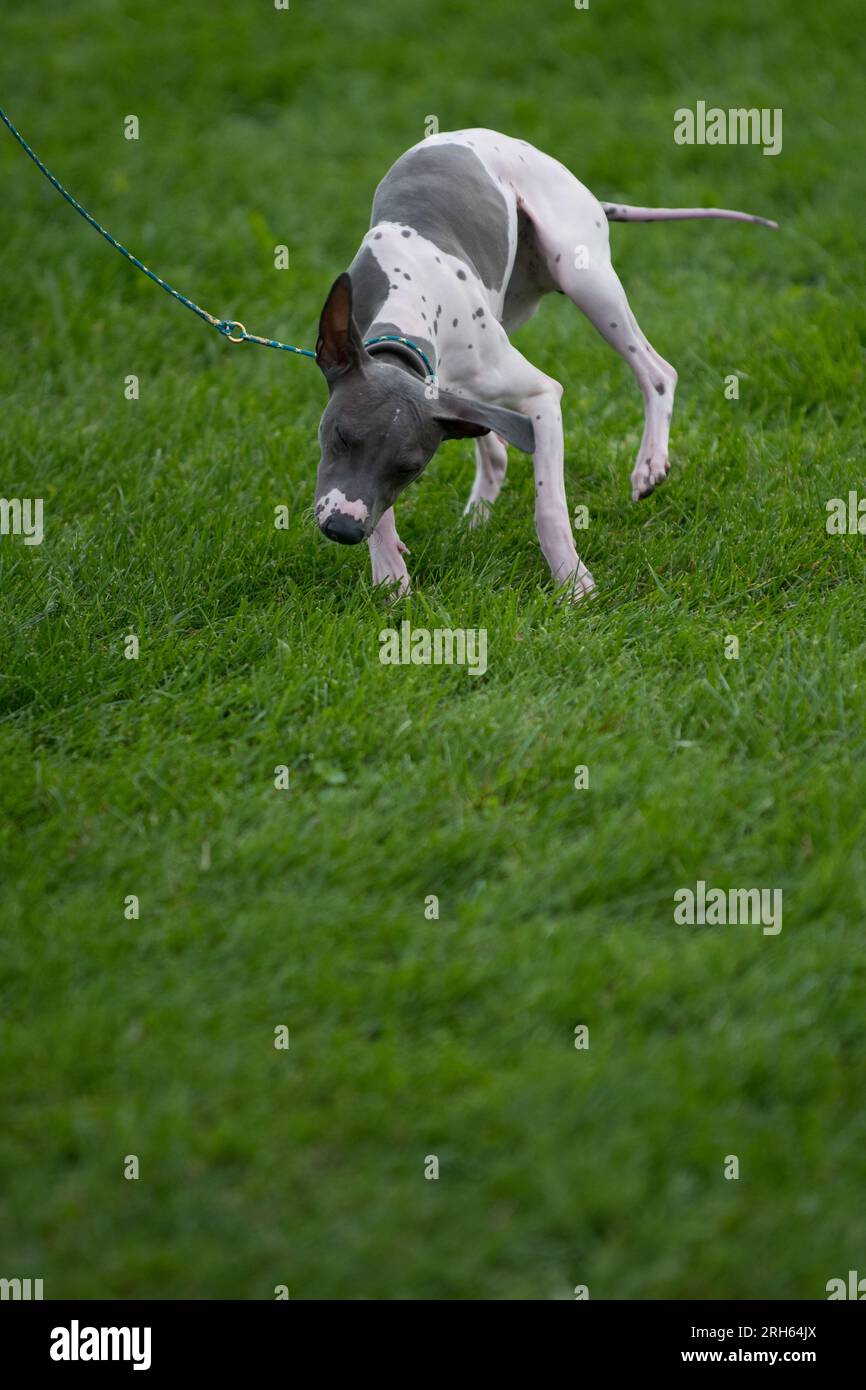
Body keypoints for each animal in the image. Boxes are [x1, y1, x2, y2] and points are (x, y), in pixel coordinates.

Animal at [312, 131, 778, 603]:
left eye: (410, 467)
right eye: (339, 437)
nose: (342, 529)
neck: (408, 299)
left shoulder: (541, 399)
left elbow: (549, 507)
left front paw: (573, 584)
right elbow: (382, 511)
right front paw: (391, 574)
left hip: (585, 279)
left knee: (657, 371)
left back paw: (649, 463)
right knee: (493, 445)